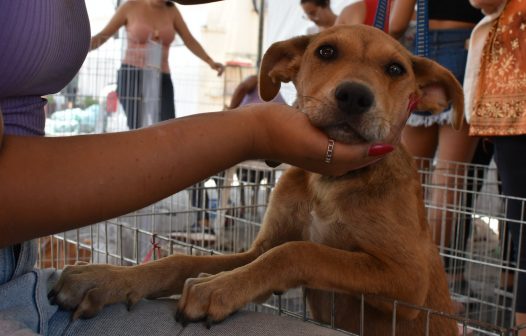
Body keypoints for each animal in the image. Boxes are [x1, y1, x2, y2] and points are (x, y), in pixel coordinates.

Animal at [49, 25, 462, 334]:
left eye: (395, 70)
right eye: (326, 51)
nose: (355, 96)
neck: (329, 184)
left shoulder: (407, 279)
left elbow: (300, 250)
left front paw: (216, 287)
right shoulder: (258, 250)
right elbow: (181, 260)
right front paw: (106, 277)